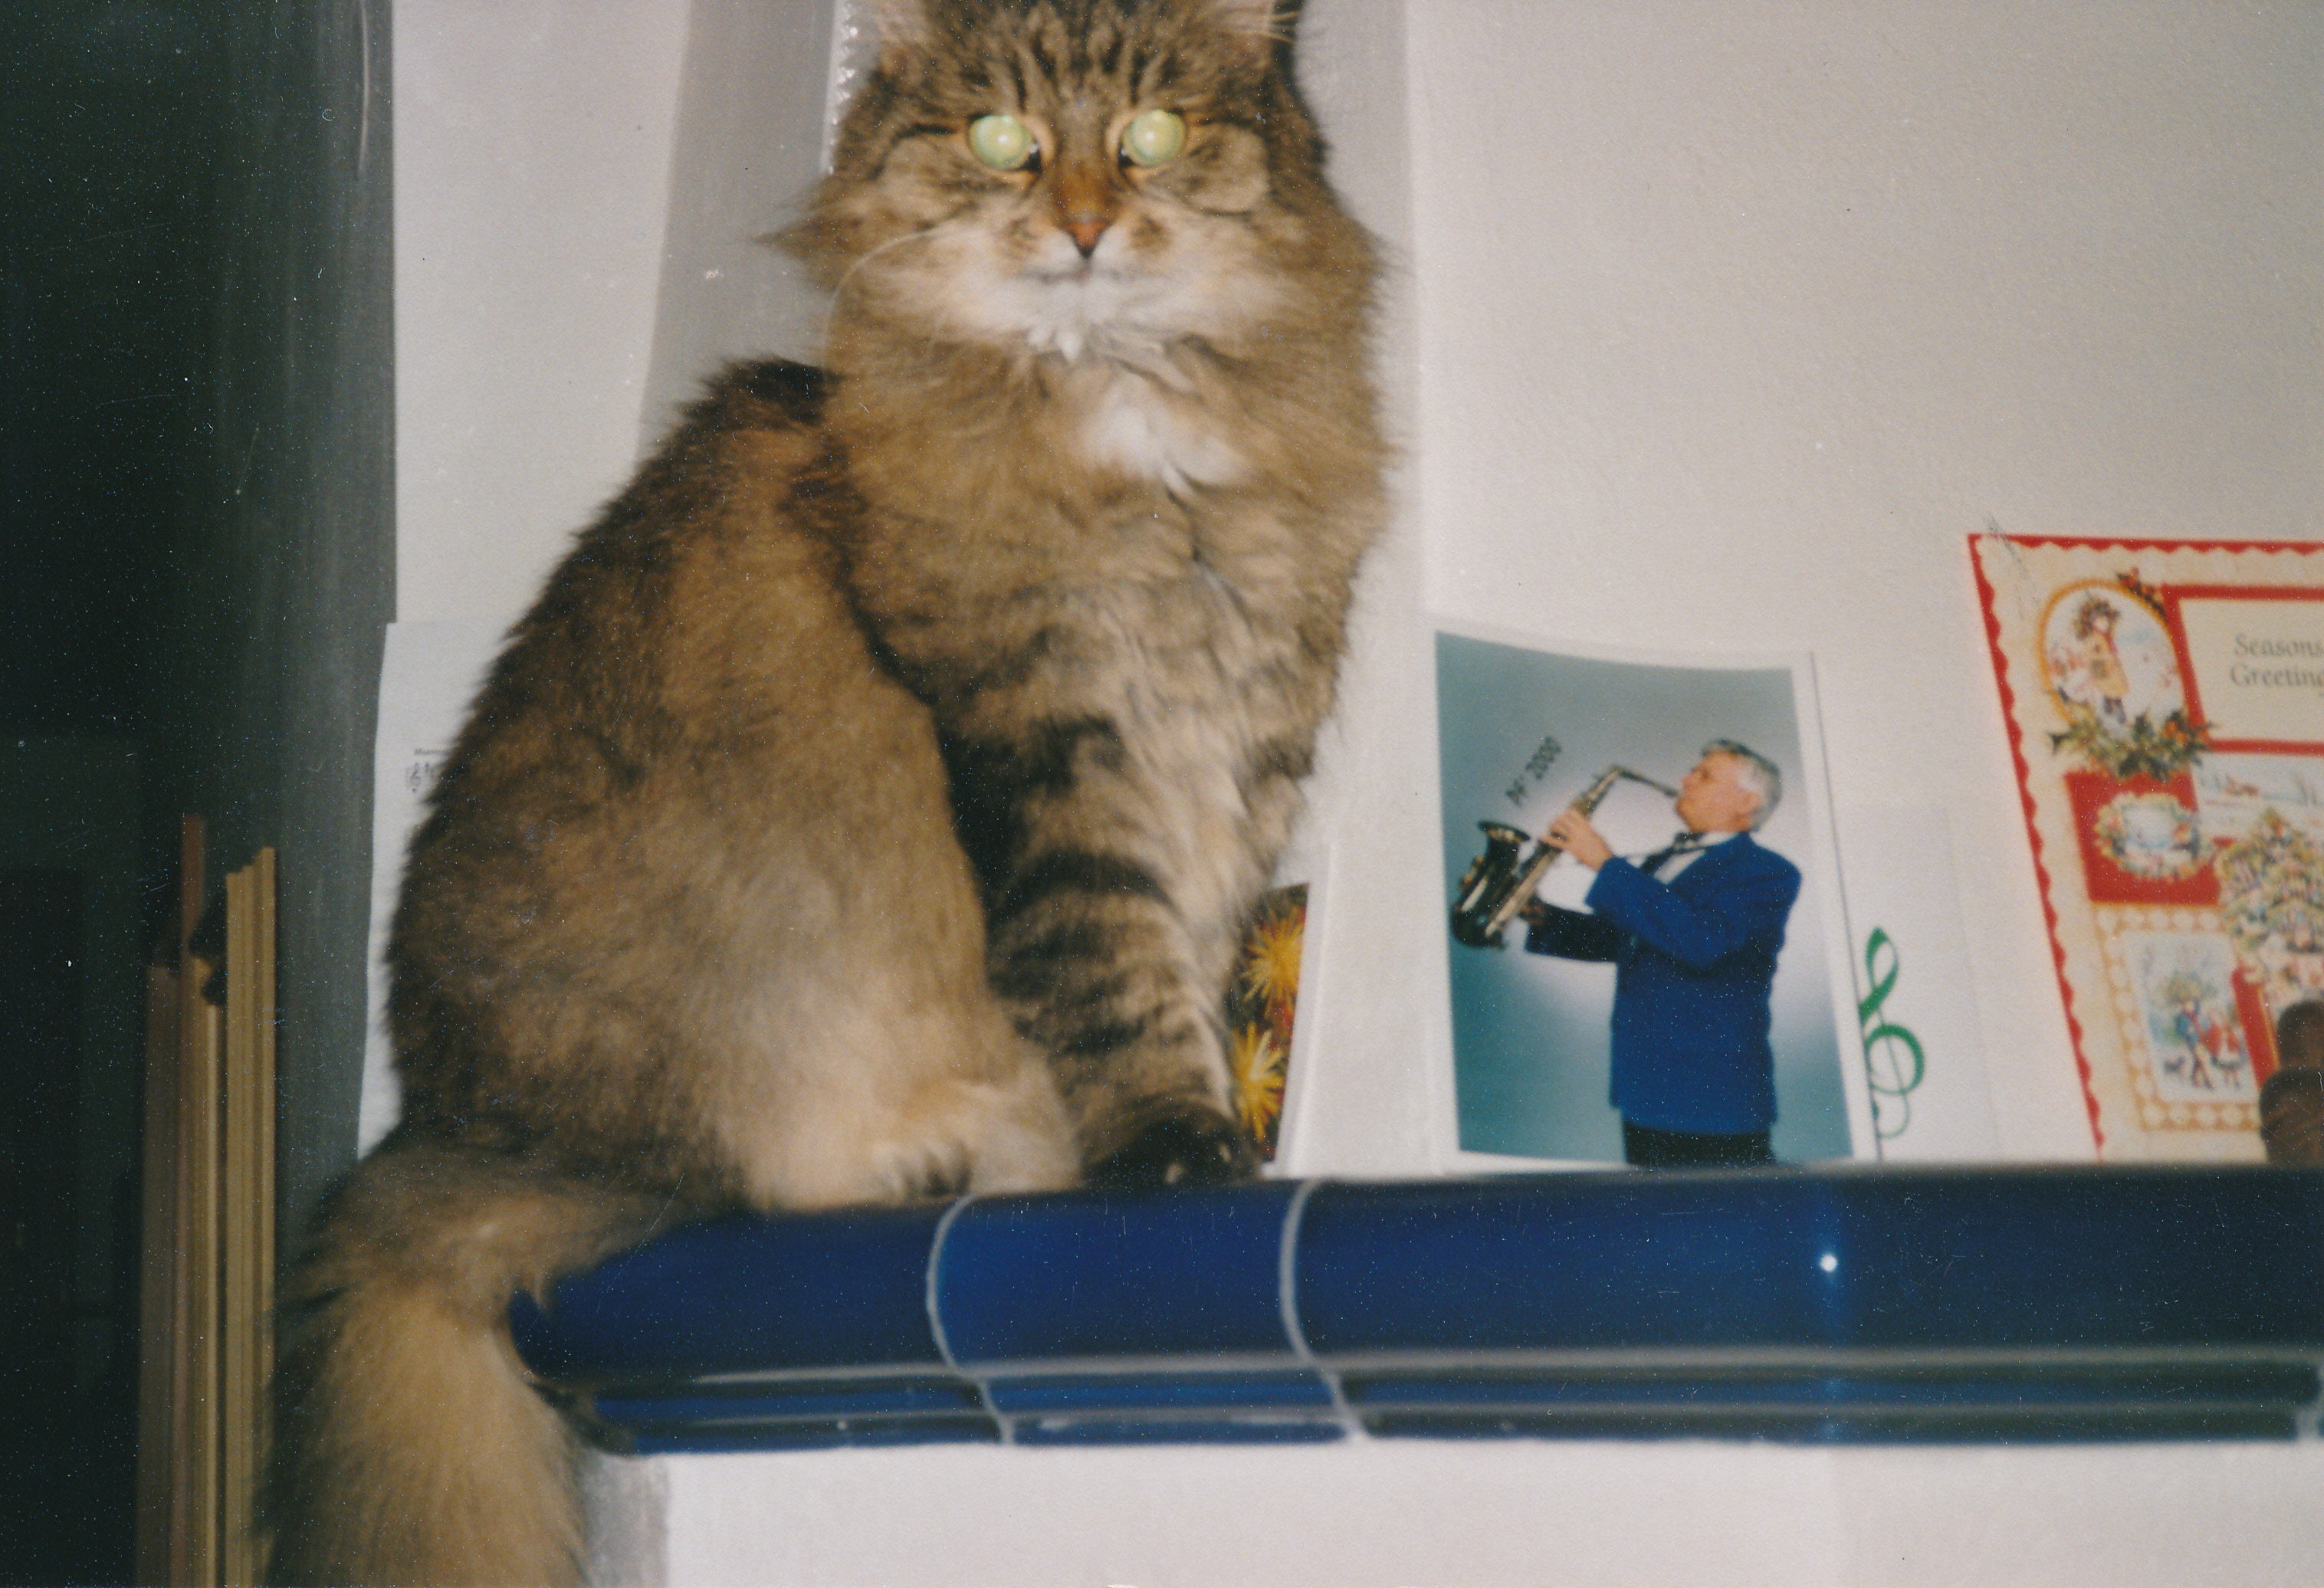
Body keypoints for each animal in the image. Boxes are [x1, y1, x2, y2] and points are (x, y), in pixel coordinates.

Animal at [264, 0, 1382, 1581]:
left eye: (1151, 135)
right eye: (1002, 138)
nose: (1085, 223)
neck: (1120, 407)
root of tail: (432, 1141)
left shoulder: (1246, 736)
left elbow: (1191, 949)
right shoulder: (1043, 738)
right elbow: (1116, 972)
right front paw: (1178, 1153)